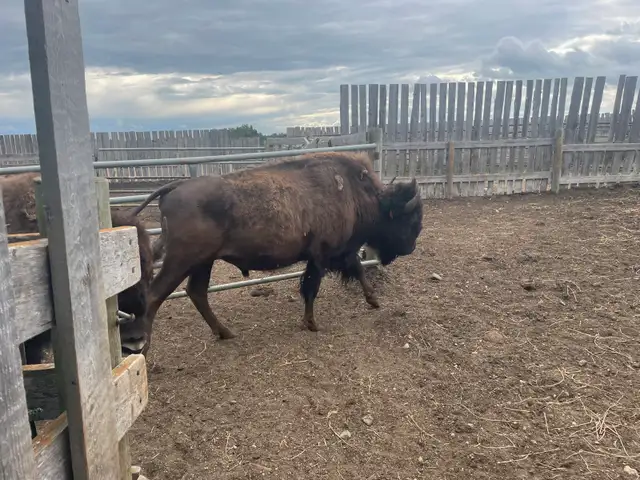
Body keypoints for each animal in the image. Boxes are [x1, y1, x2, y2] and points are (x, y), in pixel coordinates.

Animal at [127, 151, 423, 355]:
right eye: (409, 221)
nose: (410, 248)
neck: (356, 192)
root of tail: (174, 188)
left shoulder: (341, 253)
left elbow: (358, 271)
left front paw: (374, 301)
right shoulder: (322, 256)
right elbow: (312, 287)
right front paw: (311, 323)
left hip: (203, 262)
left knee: (196, 292)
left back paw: (226, 333)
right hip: (182, 260)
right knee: (155, 296)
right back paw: (145, 347)